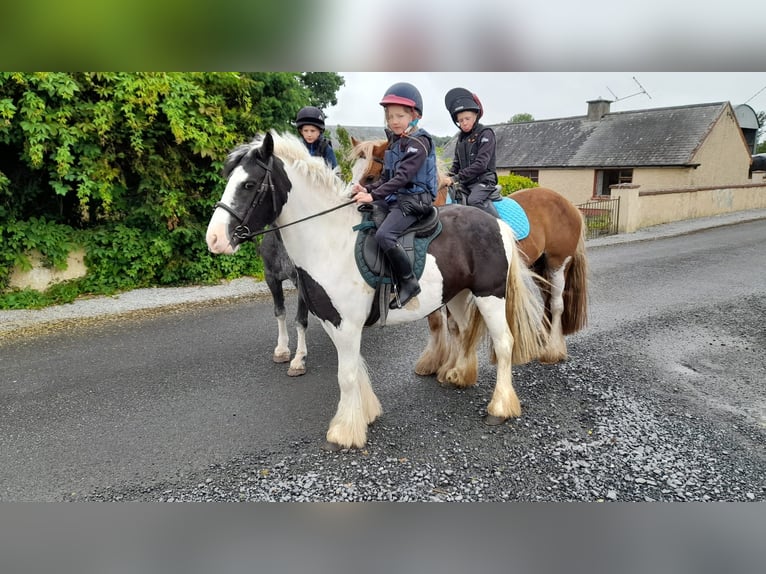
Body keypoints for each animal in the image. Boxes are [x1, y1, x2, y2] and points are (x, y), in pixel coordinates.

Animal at [207, 130, 548, 450]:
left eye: (249, 185)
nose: (214, 239)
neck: (331, 242)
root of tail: (496, 224)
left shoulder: (347, 325)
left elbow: (345, 375)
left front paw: (344, 432)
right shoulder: (334, 322)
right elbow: (355, 370)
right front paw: (364, 415)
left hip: (490, 296)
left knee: (504, 343)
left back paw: (500, 407)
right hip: (460, 295)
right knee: (464, 333)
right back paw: (458, 376)